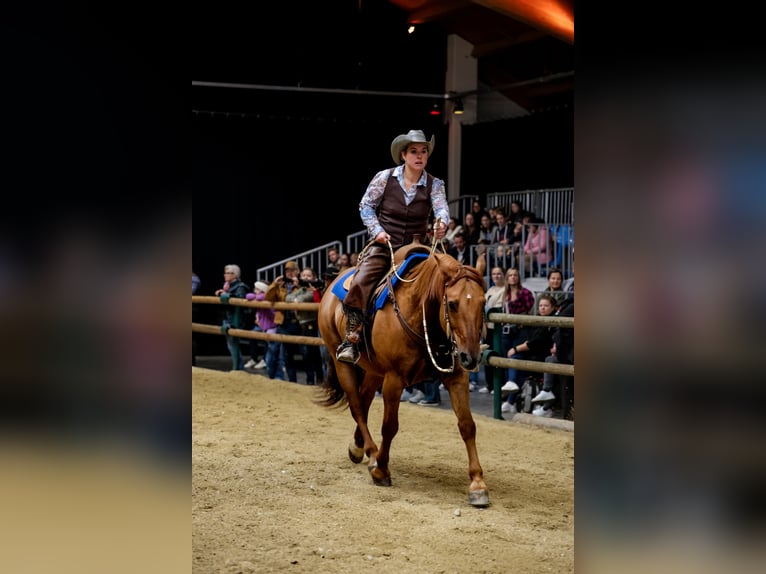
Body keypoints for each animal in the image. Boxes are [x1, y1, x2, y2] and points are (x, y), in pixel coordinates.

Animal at [316, 239, 490, 507]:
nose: (470, 357)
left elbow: (467, 425)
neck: (421, 313)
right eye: (452, 304)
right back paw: (371, 453)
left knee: (364, 400)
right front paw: (381, 470)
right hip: (342, 364)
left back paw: (359, 448)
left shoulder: (456, 377)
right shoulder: (394, 379)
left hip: (374, 371)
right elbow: (390, 426)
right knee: (357, 406)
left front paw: (478, 484)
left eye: (482, 303)